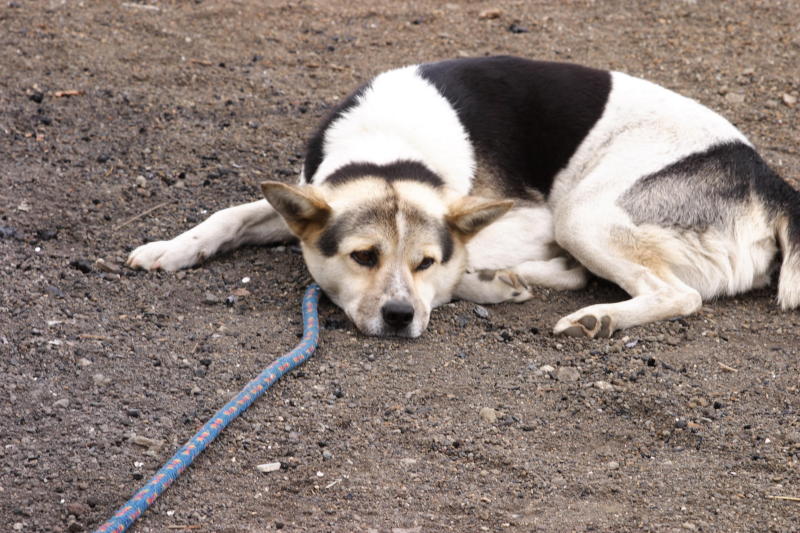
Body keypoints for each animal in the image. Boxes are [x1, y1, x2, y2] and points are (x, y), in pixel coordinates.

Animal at [125, 57, 800, 336]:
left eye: (423, 261)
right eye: (362, 257)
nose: (400, 319)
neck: (391, 148)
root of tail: (771, 182)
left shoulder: (525, 218)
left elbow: (459, 263)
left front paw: (482, 283)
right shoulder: (309, 195)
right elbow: (233, 213)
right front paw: (172, 248)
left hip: (582, 214)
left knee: (677, 294)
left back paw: (593, 316)